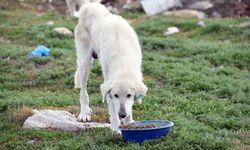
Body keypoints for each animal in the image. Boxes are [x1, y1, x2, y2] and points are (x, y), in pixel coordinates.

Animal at [74, 2, 148, 132]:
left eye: (129, 95)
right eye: (116, 95)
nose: (122, 114)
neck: (123, 64)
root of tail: (88, 5)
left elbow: (130, 107)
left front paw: (129, 122)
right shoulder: (108, 89)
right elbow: (113, 112)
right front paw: (116, 130)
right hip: (85, 63)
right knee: (83, 92)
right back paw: (84, 113)